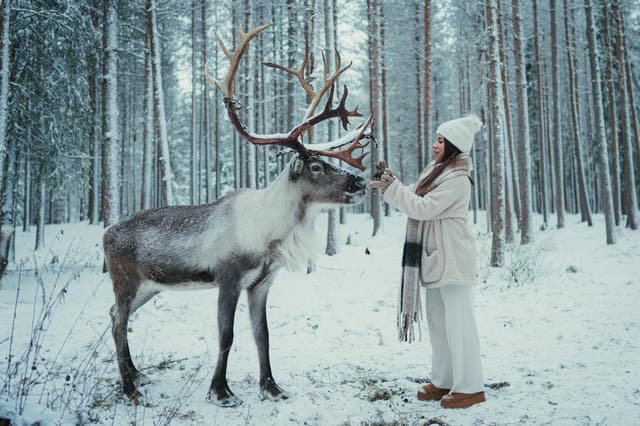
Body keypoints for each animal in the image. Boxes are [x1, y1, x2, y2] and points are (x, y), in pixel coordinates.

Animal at [102, 24, 374, 407]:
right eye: (317, 166)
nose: (360, 181)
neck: (271, 233)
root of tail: (106, 233)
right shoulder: (228, 278)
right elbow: (227, 335)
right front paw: (221, 391)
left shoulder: (262, 283)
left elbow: (263, 335)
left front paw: (272, 387)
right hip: (124, 279)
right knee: (117, 320)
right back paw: (129, 388)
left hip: (149, 286)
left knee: (115, 315)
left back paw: (137, 374)